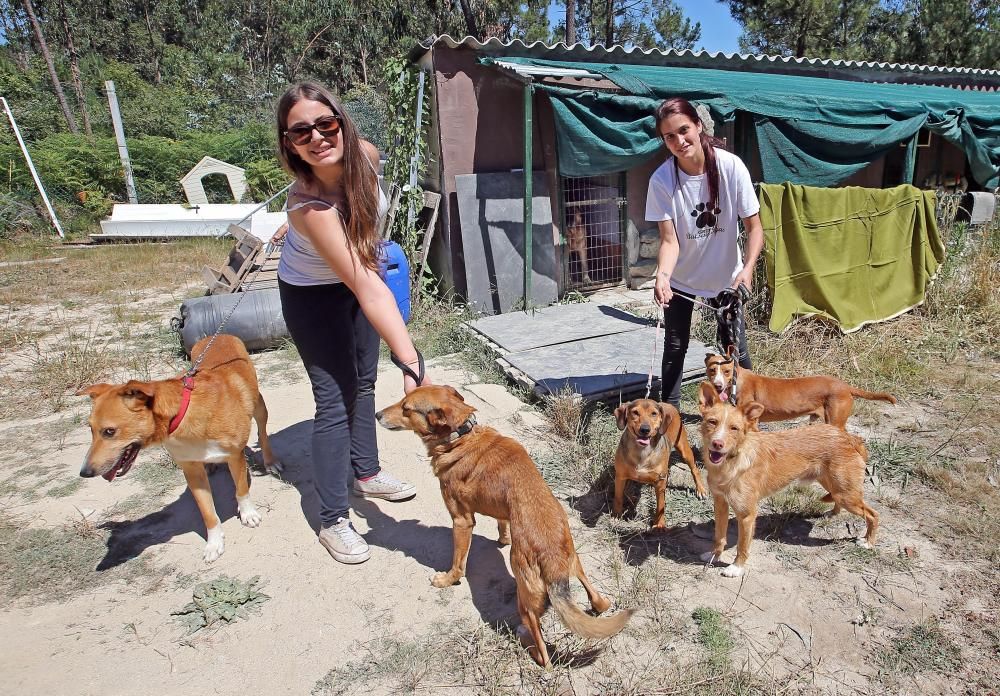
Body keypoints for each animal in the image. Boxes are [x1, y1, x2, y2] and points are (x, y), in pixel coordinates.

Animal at [77, 334, 278, 564]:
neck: (182, 416)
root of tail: (217, 334)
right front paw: (214, 543)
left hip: (259, 407)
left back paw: (270, 462)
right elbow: (208, 513)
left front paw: (248, 514)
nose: (84, 472)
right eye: (90, 429)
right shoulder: (191, 470)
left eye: (109, 431)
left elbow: (241, 490)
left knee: (263, 433)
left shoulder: (235, 456)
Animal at [376, 384, 632, 668]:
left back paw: (528, 643)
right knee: (597, 599)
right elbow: (502, 522)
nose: (377, 414)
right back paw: (596, 605)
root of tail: (552, 557)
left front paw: (447, 580)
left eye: (406, 408)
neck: (462, 435)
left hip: (525, 599)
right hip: (575, 564)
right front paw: (503, 538)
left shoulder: (461, 521)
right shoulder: (501, 508)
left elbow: (458, 562)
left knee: (545, 656)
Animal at [612, 396, 708, 528]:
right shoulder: (620, 477)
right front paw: (616, 515)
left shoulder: (660, 482)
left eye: (654, 414)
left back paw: (701, 489)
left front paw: (660, 524)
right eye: (635, 412)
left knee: (695, 469)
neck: (642, 452)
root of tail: (667, 404)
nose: (645, 429)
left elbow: (661, 505)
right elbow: (618, 497)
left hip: (684, 448)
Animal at [696, 380, 876, 576]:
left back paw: (868, 542)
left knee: (873, 514)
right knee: (840, 501)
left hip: (846, 495)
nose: (717, 444)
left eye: (734, 428)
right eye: (712, 422)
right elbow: (719, 536)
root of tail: (849, 437)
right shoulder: (720, 504)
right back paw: (833, 513)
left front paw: (736, 568)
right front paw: (714, 555)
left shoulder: (747, 515)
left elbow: (742, 546)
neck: (731, 462)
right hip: (835, 487)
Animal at [704, 350, 900, 432]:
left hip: (836, 422)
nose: (718, 385)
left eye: (726, 371)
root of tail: (845, 386)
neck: (738, 381)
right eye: (712, 370)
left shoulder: (752, 424)